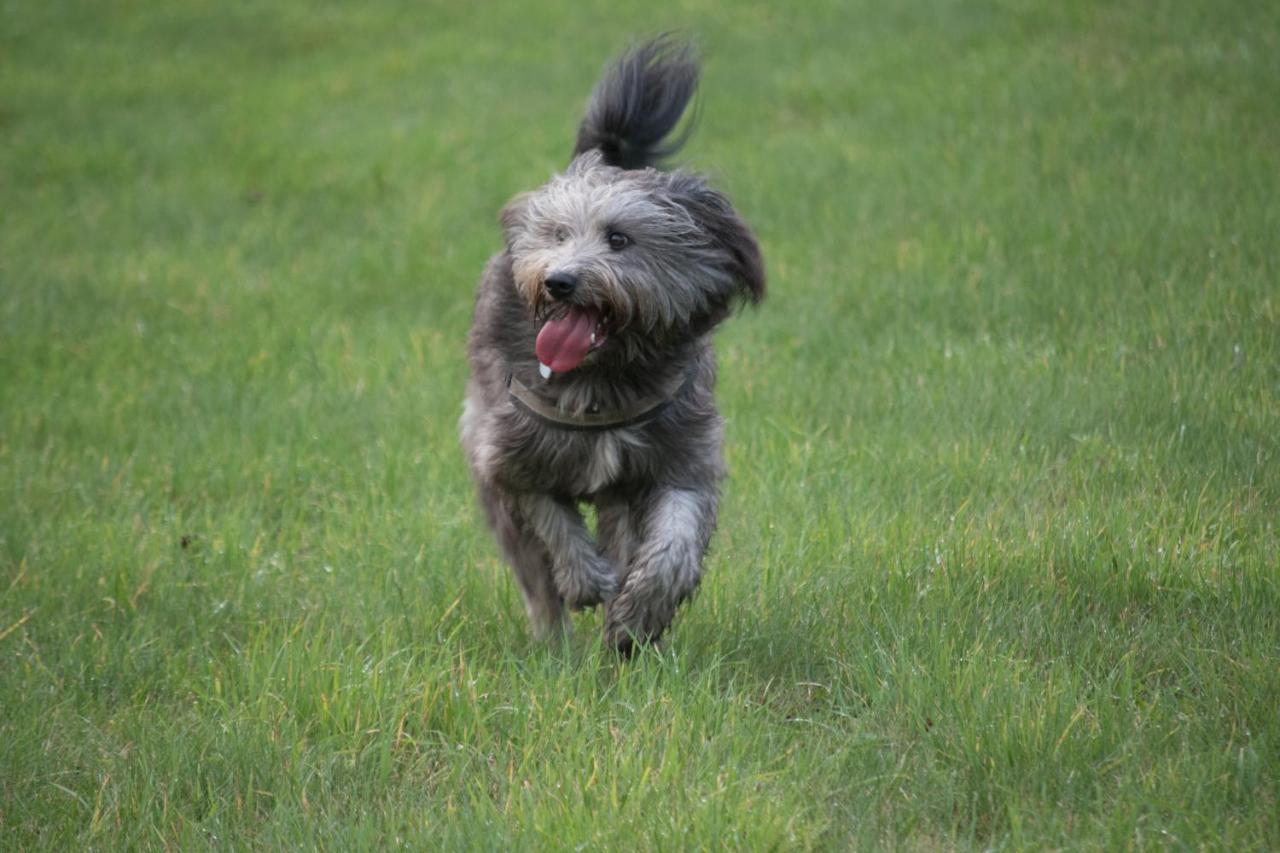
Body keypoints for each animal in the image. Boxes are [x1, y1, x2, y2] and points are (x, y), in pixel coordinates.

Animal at [460, 34, 757, 650]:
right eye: (557, 235)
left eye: (619, 239)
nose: (559, 282)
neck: (602, 379)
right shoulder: (507, 448)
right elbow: (549, 516)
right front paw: (586, 579)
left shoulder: (680, 453)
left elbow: (675, 537)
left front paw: (637, 616)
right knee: (532, 573)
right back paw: (552, 643)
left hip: (622, 495)